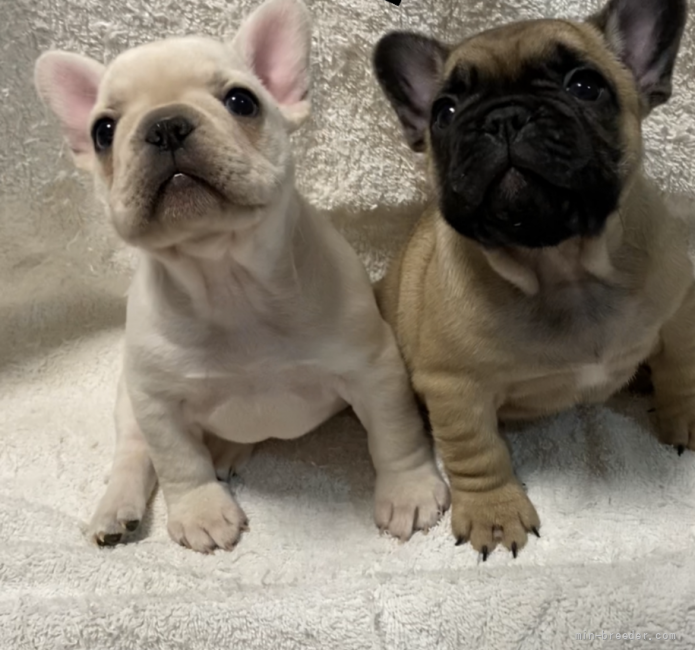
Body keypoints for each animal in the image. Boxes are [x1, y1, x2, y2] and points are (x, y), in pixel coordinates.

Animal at [34, 0, 452, 552]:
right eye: (103, 131)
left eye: (241, 101)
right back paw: (115, 510)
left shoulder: (374, 367)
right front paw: (200, 511)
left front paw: (408, 490)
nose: (165, 125)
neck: (227, 278)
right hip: (128, 399)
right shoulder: (157, 400)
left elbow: (394, 432)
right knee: (134, 453)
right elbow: (177, 460)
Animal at [378, 0, 692, 556]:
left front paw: (685, 420)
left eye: (585, 86)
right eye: (444, 112)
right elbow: (476, 450)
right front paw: (494, 512)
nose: (503, 117)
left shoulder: (678, 316)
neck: (562, 267)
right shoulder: (454, 386)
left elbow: (682, 373)